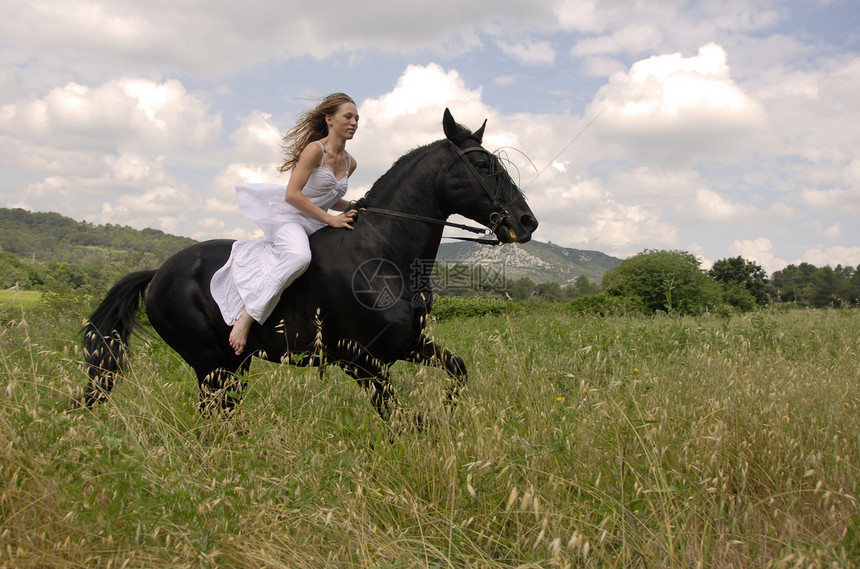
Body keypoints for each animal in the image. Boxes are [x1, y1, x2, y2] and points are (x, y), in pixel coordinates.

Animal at [80, 108, 536, 424]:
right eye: (483, 165)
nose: (526, 221)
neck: (383, 253)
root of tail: (157, 273)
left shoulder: (407, 345)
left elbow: (457, 371)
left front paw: (448, 412)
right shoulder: (359, 360)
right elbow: (400, 418)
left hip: (232, 365)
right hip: (211, 364)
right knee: (215, 416)